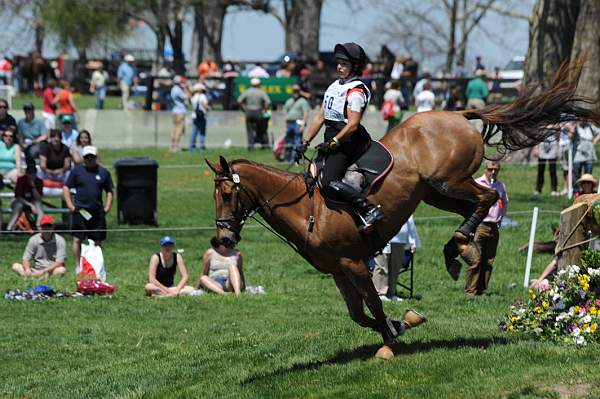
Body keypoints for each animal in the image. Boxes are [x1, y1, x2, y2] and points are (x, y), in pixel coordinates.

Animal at [206, 61, 600, 350]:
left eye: (226, 194)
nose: (223, 241)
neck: (307, 209)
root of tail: (458, 114)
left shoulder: (353, 262)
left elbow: (374, 303)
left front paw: (395, 331)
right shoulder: (337, 270)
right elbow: (359, 314)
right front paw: (398, 324)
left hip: (450, 179)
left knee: (488, 198)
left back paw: (462, 248)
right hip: (433, 192)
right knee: (470, 209)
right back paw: (458, 250)